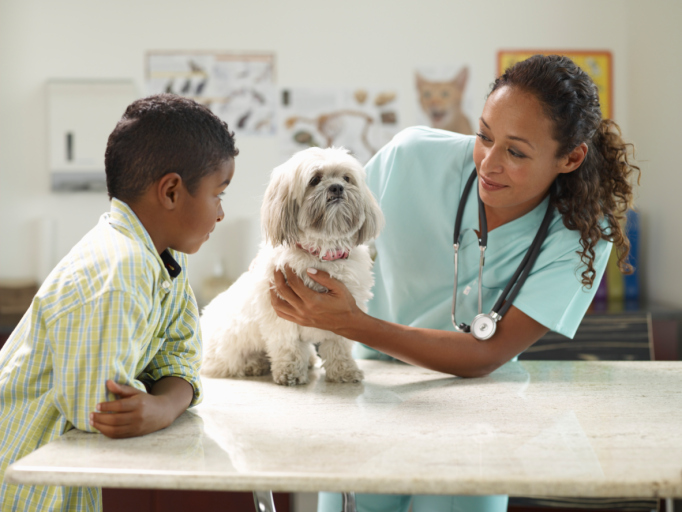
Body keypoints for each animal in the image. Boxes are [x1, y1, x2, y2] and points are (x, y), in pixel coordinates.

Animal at [201, 146, 382, 386]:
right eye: (315, 179)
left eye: (346, 178)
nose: (337, 187)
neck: (320, 254)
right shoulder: (280, 313)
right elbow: (287, 345)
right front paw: (290, 373)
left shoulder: (346, 311)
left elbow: (339, 345)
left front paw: (344, 371)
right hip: (228, 345)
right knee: (225, 363)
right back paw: (253, 365)